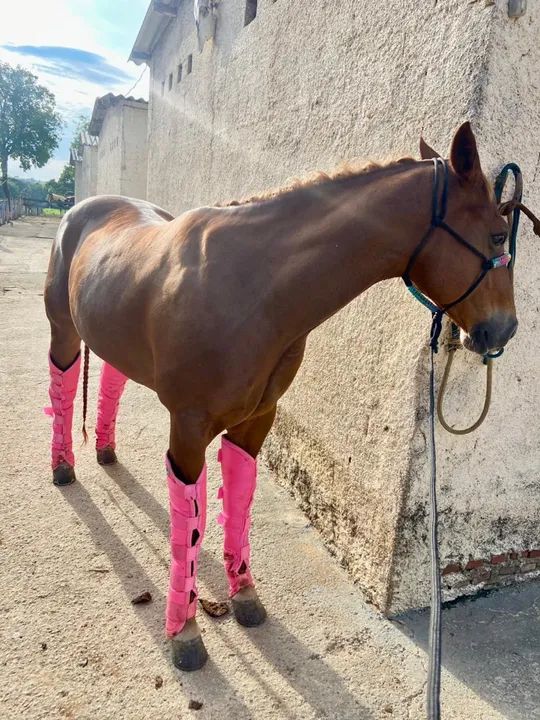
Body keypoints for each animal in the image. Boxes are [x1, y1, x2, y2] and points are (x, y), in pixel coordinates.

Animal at [44, 122, 518, 671]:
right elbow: (189, 523)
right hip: (63, 330)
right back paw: (63, 465)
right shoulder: (188, 426)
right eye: (499, 233)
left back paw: (105, 449)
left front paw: (244, 596)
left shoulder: (258, 419)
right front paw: (184, 633)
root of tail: (84, 208)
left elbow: (239, 500)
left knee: (112, 383)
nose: (504, 329)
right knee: (61, 384)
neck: (254, 289)